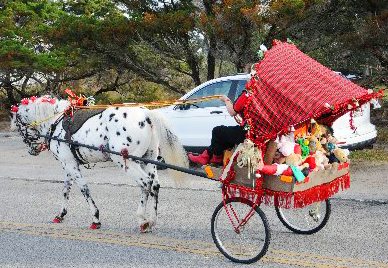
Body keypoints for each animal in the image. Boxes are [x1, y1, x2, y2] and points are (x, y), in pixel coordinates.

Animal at [9, 96, 189, 232]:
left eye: (18, 125)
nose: (32, 150)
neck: (56, 121)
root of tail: (145, 114)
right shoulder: (69, 164)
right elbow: (65, 190)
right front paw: (60, 215)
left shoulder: (71, 165)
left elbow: (84, 189)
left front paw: (95, 218)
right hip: (148, 159)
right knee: (155, 186)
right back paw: (152, 220)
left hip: (128, 162)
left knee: (146, 183)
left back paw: (142, 220)